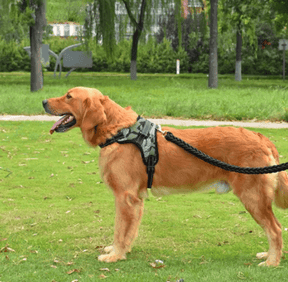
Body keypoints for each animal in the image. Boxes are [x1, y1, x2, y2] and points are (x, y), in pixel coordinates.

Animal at [41, 87, 288, 266]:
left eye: (69, 96)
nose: (43, 101)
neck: (118, 131)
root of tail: (262, 138)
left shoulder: (125, 197)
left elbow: (119, 230)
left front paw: (115, 255)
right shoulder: (135, 200)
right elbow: (128, 231)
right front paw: (121, 251)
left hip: (253, 198)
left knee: (276, 230)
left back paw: (272, 262)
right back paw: (268, 255)